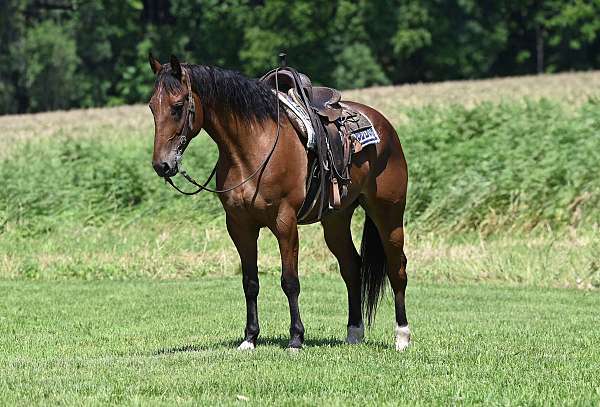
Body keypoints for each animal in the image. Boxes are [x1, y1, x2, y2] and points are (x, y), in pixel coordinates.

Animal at [148, 55, 410, 352]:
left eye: (178, 106)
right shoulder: (239, 226)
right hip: (336, 220)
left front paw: (296, 338)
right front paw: (250, 338)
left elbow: (290, 281)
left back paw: (402, 336)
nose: (162, 165)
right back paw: (354, 333)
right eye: (152, 107)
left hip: (388, 213)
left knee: (397, 268)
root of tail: (385, 126)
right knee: (351, 267)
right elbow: (250, 282)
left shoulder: (285, 222)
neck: (252, 148)